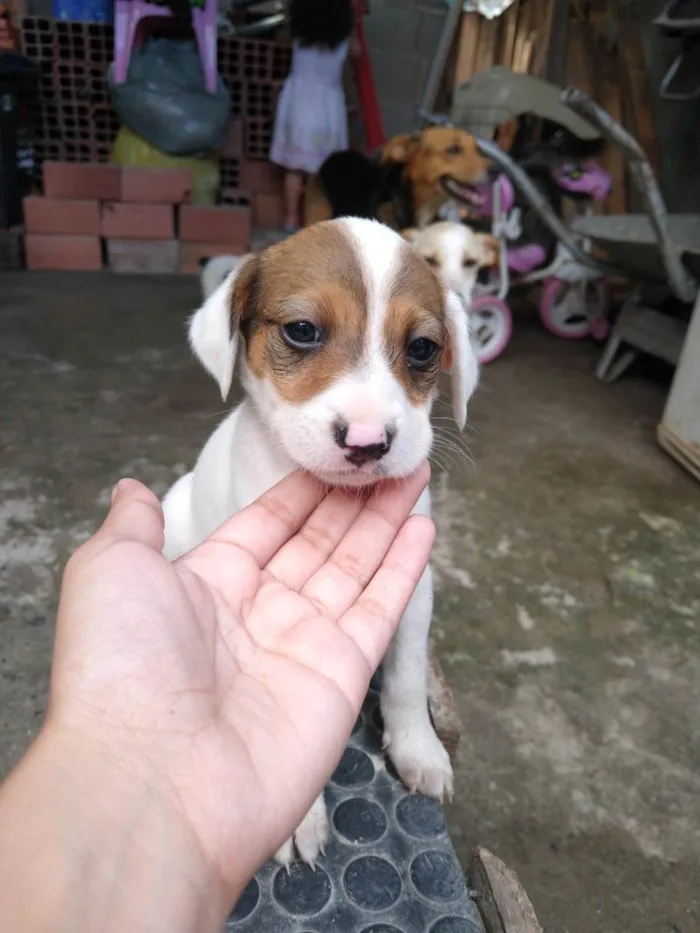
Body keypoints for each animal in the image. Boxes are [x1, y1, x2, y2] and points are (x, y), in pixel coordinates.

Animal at [163, 217, 482, 868]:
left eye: (423, 348)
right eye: (303, 331)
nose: (366, 442)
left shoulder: (414, 592)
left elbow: (407, 677)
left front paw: (417, 747)